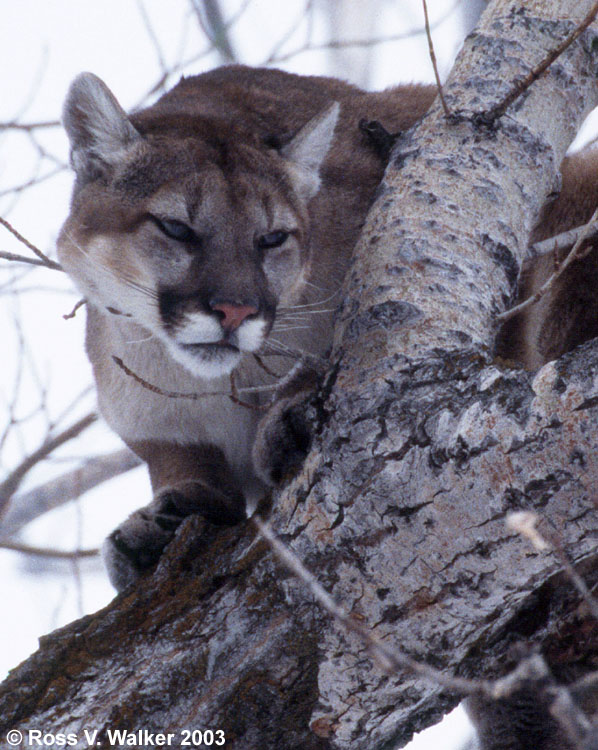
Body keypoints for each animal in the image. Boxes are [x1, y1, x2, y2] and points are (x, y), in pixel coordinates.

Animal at [58, 64, 598, 592]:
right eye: (176, 228)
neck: (222, 383)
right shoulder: (144, 417)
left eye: (272, 238)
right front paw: (166, 517)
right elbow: (177, 460)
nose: (235, 311)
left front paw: (288, 416)